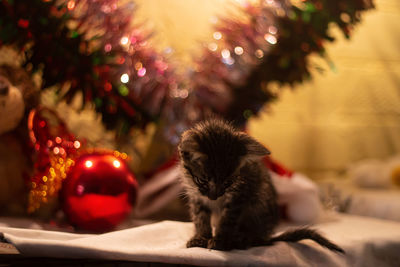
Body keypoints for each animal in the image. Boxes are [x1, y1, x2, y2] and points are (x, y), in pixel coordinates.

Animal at [178, 119, 344, 253]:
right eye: (202, 181)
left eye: (227, 182)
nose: (214, 197)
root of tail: (268, 235)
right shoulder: (196, 196)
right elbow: (200, 217)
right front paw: (201, 237)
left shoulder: (239, 196)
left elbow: (227, 220)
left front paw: (220, 240)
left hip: (259, 201)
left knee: (258, 239)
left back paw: (241, 240)